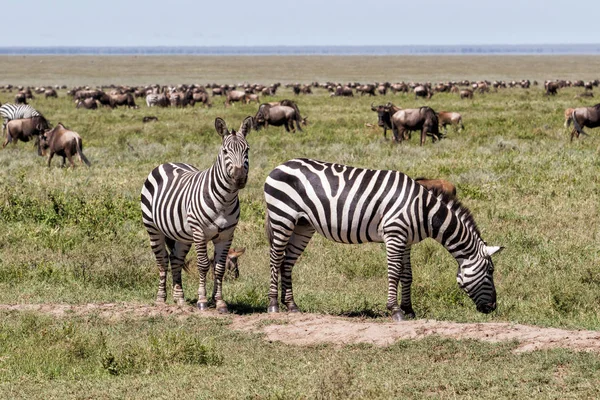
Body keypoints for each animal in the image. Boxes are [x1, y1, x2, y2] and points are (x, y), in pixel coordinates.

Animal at [140, 117, 251, 310]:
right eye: (225, 151)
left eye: (247, 150)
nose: (239, 178)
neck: (225, 200)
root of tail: (167, 163)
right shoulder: (200, 232)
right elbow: (204, 264)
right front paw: (202, 300)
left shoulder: (227, 235)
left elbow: (219, 267)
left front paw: (219, 301)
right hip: (153, 228)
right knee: (162, 261)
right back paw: (161, 299)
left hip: (182, 235)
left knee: (175, 259)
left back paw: (180, 299)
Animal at [262, 158, 502, 320]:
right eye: (490, 271)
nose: (493, 307)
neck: (424, 210)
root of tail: (281, 164)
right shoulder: (395, 234)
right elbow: (394, 272)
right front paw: (395, 310)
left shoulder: (407, 240)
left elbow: (407, 275)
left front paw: (409, 309)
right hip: (282, 216)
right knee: (275, 259)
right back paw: (273, 304)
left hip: (303, 225)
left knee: (287, 262)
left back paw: (291, 305)